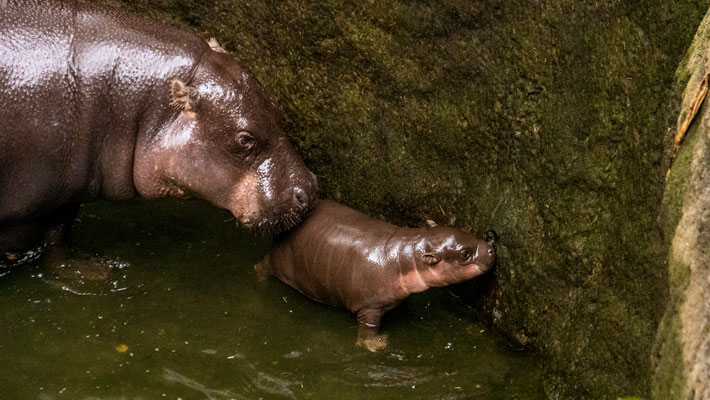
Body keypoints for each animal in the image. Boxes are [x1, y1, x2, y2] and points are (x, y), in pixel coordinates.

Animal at [254, 200, 496, 350]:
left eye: (465, 231)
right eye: (464, 254)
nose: (491, 249)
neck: (407, 253)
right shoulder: (369, 306)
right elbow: (368, 328)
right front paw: (377, 345)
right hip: (278, 260)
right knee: (264, 265)